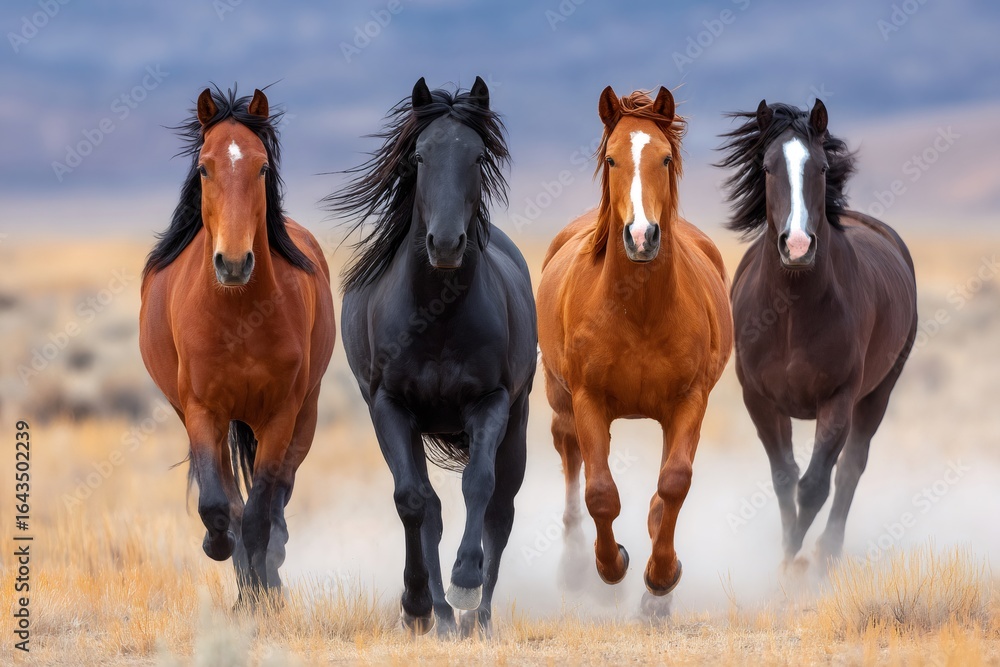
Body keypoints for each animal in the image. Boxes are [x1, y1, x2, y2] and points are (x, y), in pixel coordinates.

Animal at [139, 86, 336, 605]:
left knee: (278, 498)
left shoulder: (281, 415)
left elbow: (261, 511)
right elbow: (218, 504)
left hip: (304, 415)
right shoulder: (202, 410)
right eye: (204, 167)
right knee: (230, 493)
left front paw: (261, 594)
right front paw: (221, 549)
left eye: (262, 167)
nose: (232, 262)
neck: (241, 314)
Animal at [326, 76, 536, 637]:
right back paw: (440, 616)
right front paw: (418, 604)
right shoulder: (390, 406)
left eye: (477, 155)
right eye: (419, 156)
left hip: (519, 420)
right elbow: (414, 502)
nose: (445, 243)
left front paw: (465, 581)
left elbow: (479, 485)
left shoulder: (491, 401)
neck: (438, 317)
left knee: (501, 511)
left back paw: (477, 617)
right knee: (431, 509)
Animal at [536, 86, 733, 614]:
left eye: (665, 158)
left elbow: (673, 484)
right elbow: (600, 493)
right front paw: (611, 567)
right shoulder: (589, 400)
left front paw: (661, 579)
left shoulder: (690, 401)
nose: (642, 236)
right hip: (560, 397)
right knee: (569, 455)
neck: (638, 311)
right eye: (611, 158)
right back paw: (574, 566)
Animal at [716, 99, 917, 567]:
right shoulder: (760, 400)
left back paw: (828, 550)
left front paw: (795, 564)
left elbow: (815, 485)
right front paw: (786, 554)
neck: (792, 314)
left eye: (822, 167)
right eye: (767, 166)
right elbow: (784, 478)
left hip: (879, 391)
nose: (797, 246)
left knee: (851, 467)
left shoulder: (839, 400)